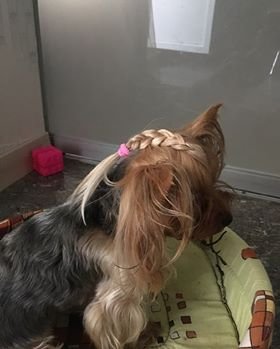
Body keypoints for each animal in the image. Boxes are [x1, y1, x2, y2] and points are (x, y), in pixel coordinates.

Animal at [0, 104, 232, 348]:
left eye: (212, 183)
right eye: (195, 200)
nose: (228, 219)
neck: (109, 220)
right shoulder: (117, 290)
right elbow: (114, 321)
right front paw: (144, 335)